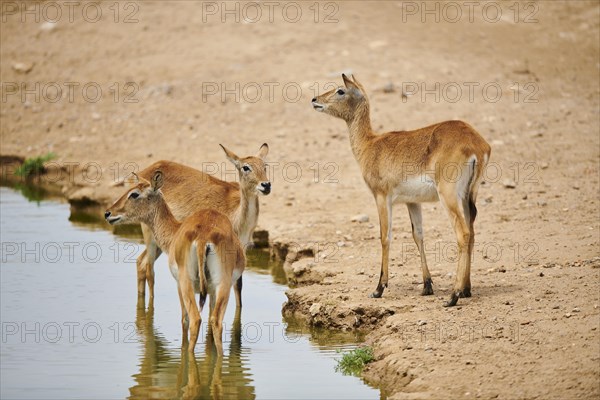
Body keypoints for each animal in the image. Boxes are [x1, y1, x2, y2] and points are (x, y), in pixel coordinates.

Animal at [104, 170, 245, 352]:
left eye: (134, 194)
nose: (108, 213)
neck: (175, 231)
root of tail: (204, 238)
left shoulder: (178, 284)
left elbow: (184, 319)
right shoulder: (212, 291)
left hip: (187, 283)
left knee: (194, 319)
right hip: (223, 285)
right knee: (215, 321)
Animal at [135, 144, 270, 304]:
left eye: (265, 165)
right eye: (246, 167)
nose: (266, 185)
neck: (237, 218)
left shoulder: (241, 249)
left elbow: (238, 286)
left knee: (140, 262)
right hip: (151, 236)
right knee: (148, 266)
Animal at [312, 75, 490, 306]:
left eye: (340, 90)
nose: (315, 99)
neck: (370, 144)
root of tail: (476, 143)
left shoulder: (382, 197)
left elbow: (385, 236)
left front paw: (378, 289)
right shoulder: (412, 201)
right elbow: (418, 235)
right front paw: (427, 286)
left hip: (449, 197)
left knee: (463, 234)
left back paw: (453, 296)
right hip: (468, 196)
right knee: (472, 233)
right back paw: (466, 289)